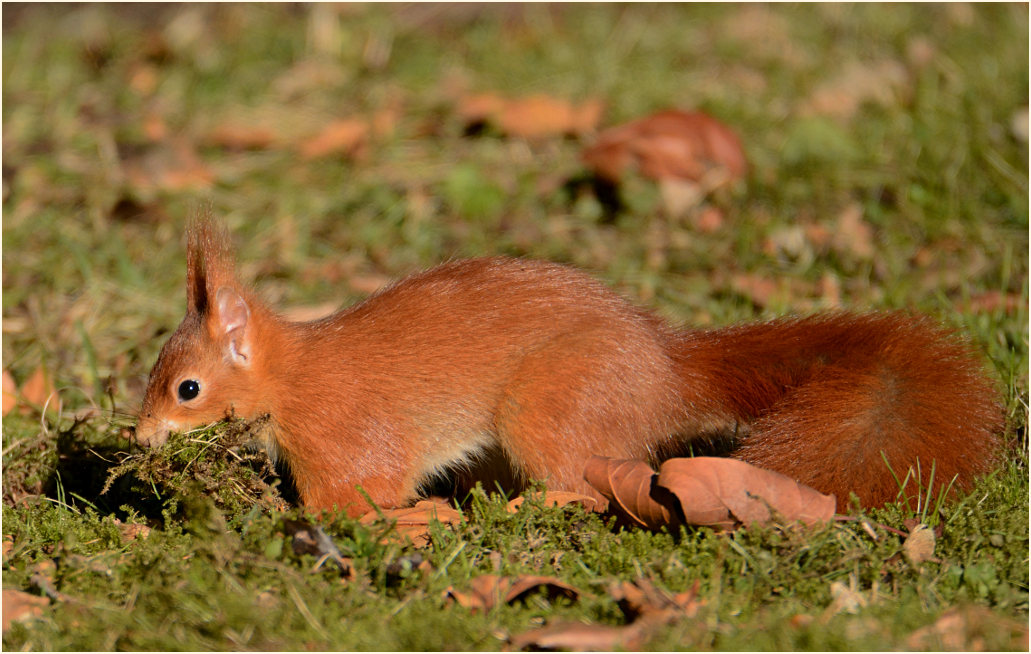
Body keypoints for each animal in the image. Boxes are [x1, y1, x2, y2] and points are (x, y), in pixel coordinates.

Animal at [135, 218, 1003, 516]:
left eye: (187, 388)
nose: (138, 437)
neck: (291, 376)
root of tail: (667, 371)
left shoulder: (341, 428)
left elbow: (359, 490)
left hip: (550, 405)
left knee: (587, 484)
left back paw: (530, 508)